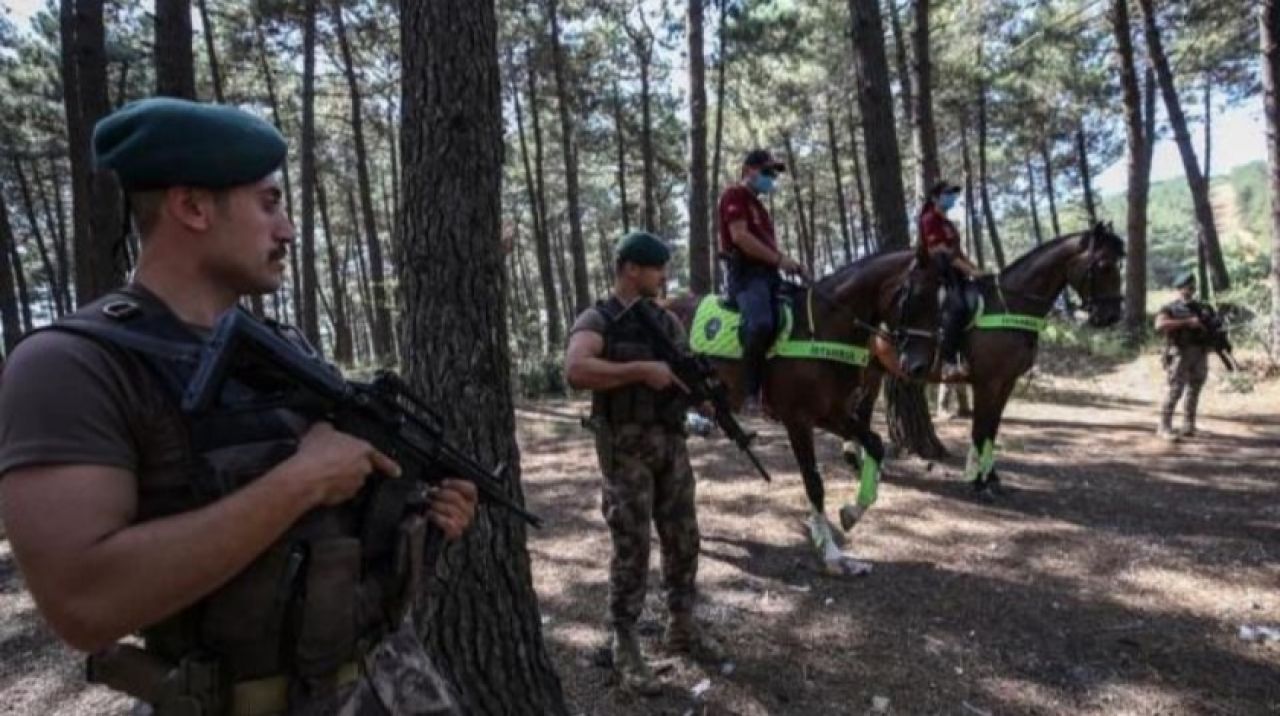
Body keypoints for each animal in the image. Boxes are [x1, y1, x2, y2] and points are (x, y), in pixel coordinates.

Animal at [665, 243, 947, 573]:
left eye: (942, 302)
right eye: (916, 296)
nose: (920, 367)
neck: (823, 327)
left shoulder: (832, 413)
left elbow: (875, 444)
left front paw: (851, 513)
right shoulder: (797, 420)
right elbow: (814, 483)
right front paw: (832, 554)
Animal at [860, 222, 1121, 499]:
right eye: (1104, 265)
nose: (1112, 316)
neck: (1010, 307)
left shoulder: (1006, 383)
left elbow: (991, 431)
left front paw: (991, 478)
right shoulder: (986, 383)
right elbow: (980, 430)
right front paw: (977, 481)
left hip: (874, 371)